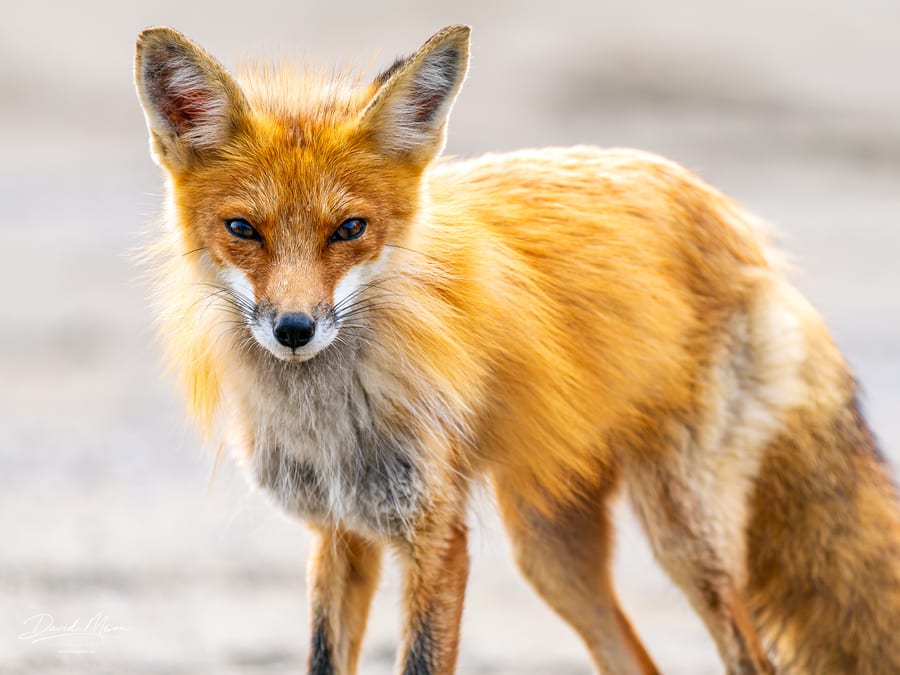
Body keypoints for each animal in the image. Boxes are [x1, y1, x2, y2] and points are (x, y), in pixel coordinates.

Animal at [134, 24, 900, 675]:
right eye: (243, 228)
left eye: (350, 229)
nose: (294, 328)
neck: (332, 423)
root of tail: (735, 222)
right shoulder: (338, 534)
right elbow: (323, 657)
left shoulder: (437, 537)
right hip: (550, 549)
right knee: (638, 661)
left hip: (683, 536)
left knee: (748, 656)